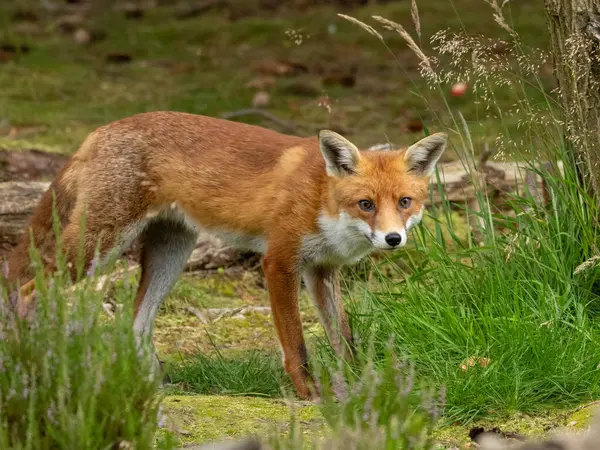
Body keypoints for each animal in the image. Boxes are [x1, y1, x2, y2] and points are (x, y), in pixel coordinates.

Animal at [3, 112, 446, 400]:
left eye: (404, 202)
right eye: (366, 204)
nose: (392, 239)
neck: (321, 196)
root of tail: (102, 129)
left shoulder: (322, 270)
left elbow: (345, 340)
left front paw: (360, 385)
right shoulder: (279, 262)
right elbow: (296, 346)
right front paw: (309, 395)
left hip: (171, 253)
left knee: (136, 325)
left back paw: (155, 386)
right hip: (97, 244)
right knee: (27, 291)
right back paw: (32, 364)